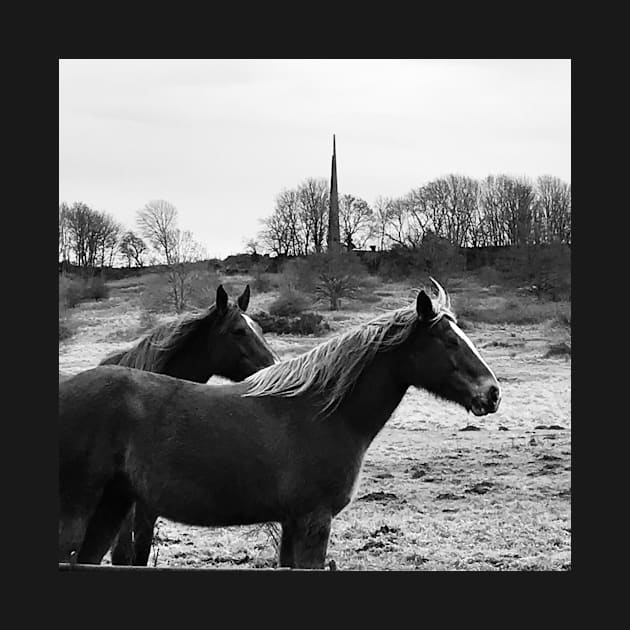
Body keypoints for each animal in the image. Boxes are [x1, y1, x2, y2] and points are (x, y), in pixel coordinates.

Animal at [59, 278, 504, 572]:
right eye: (450, 341)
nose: (493, 393)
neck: (321, 413)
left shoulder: (291, 524)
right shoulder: (313, 522)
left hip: (110, 510)